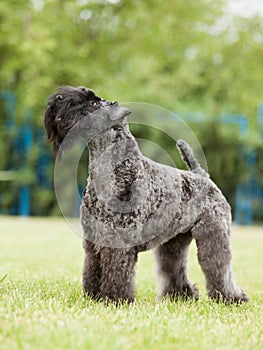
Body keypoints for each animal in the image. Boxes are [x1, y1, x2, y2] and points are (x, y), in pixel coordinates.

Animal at [44, 87, 251, 304]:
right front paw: (93, 297)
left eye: (93, 103)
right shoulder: (93, 240)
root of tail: (203, 176)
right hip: (173, 243)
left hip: (214, 236)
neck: (114, 169)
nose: (57, 99)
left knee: (219, 267)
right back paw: (179, 296)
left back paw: (232, 298)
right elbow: (92, 269)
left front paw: (115, 299)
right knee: (174, 267)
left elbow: (116, 272)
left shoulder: (119, 241)